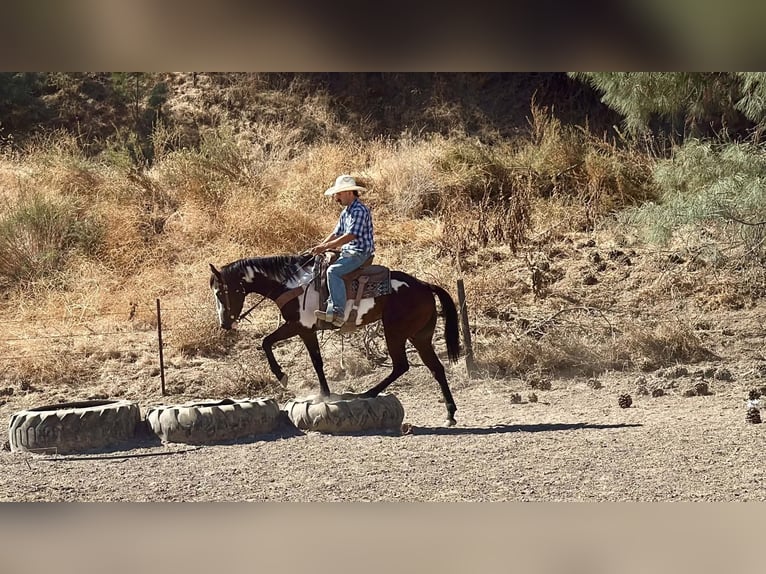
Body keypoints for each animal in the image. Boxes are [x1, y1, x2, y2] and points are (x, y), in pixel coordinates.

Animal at [208, 252, 462, 426]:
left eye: (221, 292)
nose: (224, 324)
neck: (291, 284)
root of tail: (425, 285)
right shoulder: (303, 329)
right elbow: (297, 353)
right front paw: (321, 392)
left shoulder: (301, 327)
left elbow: (277, 346)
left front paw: (285, 378)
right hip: (420, 336)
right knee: (436, 368)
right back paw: (449, 414)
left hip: (395, 332)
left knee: (401, 365)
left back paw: (367, 394)